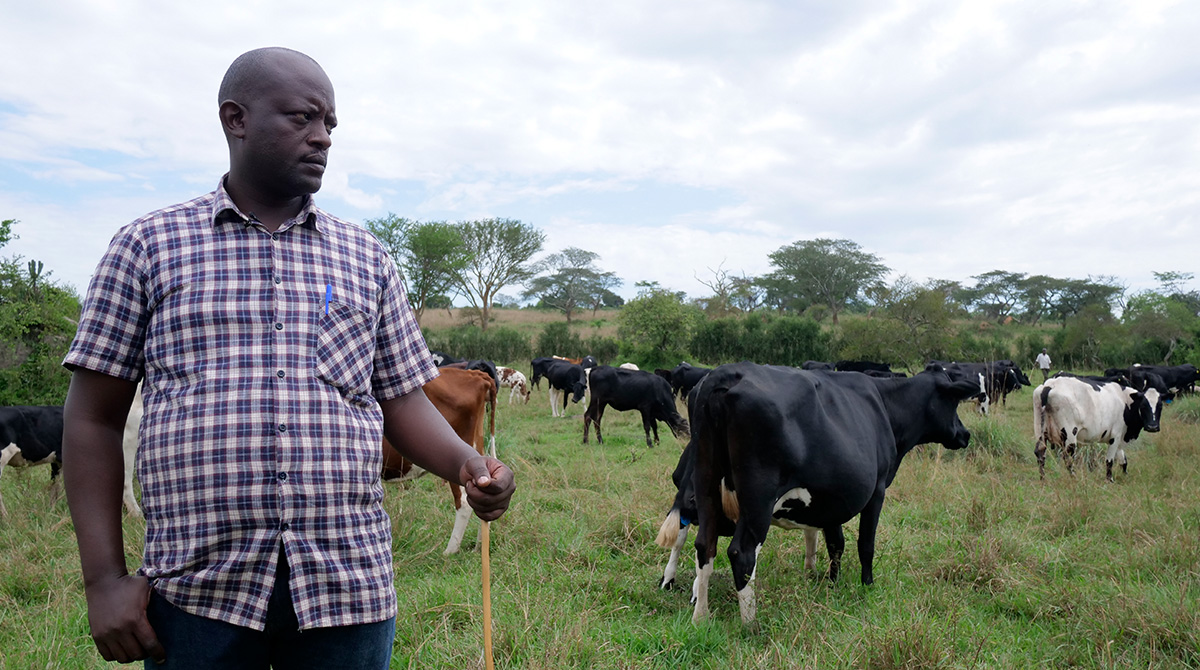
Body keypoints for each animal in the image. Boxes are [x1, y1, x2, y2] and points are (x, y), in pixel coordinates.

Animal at [691, 365, 979, 629]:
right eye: (953, 402)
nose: (965, 434)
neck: (885, 408)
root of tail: (729, 373)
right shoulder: (877, 490)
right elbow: (866, 544)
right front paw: (867, 585)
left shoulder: (832, 500)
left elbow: (836, 543)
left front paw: (832, 583)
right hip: (758, 498)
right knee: (742, 553)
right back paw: (751, 625)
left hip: (705, 482)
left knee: (705, 545)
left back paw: (701, 618)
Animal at [1032, 379, 1161, 482]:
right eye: (1143, 406)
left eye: (1160, 406)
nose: (1152, 427)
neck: (1124, 399)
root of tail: (1049, 385)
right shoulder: (1115, 436)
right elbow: (1110, 461)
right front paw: (1109, 480)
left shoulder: (1120, 438)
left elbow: (1123, 460)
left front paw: (1125, 476)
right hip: (1070, 435)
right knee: (1067, 457)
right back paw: (1074, 478)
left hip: (1040, 431)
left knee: (1040, 453)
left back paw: (1043, 480)